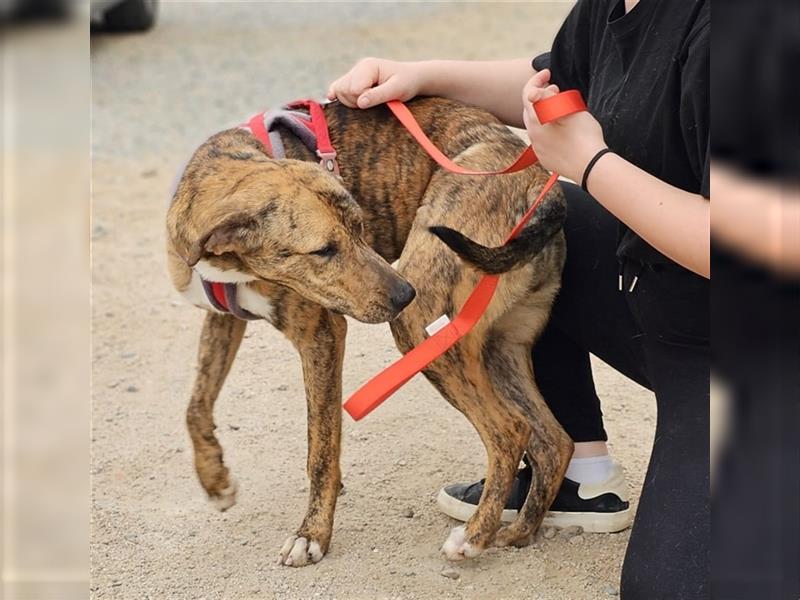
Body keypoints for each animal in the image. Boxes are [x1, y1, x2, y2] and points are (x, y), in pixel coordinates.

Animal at [166, 97, 572, 568]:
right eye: (323, 250)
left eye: (360, 226)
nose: (404, 294)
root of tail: (540, 182)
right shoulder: (224, 318)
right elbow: (196, 404)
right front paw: (214, 480)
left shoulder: (322, 336)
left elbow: (320, 450)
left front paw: (312, 534)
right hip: (498, 344)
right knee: (553, 442)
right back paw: (516, 533)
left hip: (424, 330)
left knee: (510, 432)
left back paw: (473, 536)